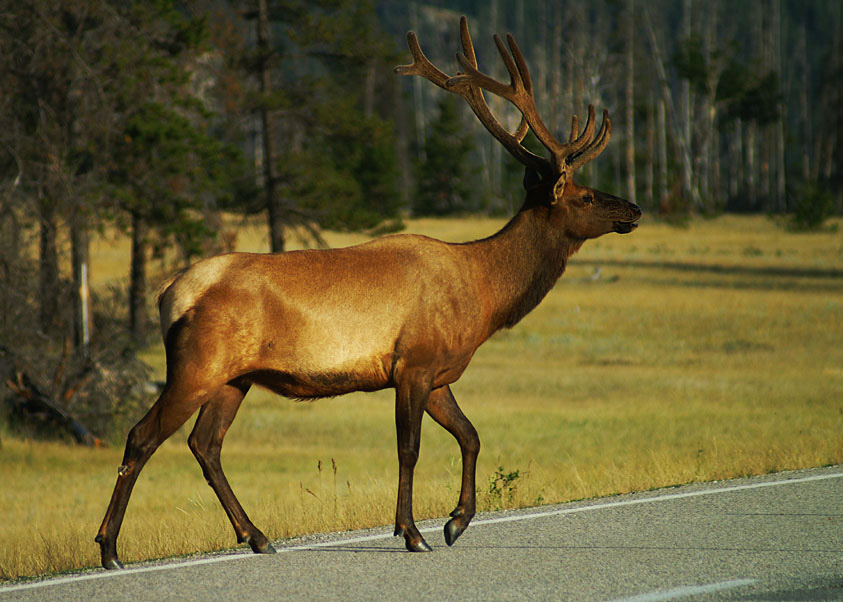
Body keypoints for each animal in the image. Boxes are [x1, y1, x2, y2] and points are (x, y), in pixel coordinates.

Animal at [95, 15, 644, 568]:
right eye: (585, 196)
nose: (634, 209)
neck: (484, 295)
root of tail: (169, 295)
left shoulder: (438, 372)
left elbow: (471, 436)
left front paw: (456, 521)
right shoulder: (414, 364)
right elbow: (410, 449)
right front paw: (414, 532)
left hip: (235, 377)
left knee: (205, 445)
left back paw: (257, 535)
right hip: (196, 365)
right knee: (141, 437)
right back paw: (110, 548)